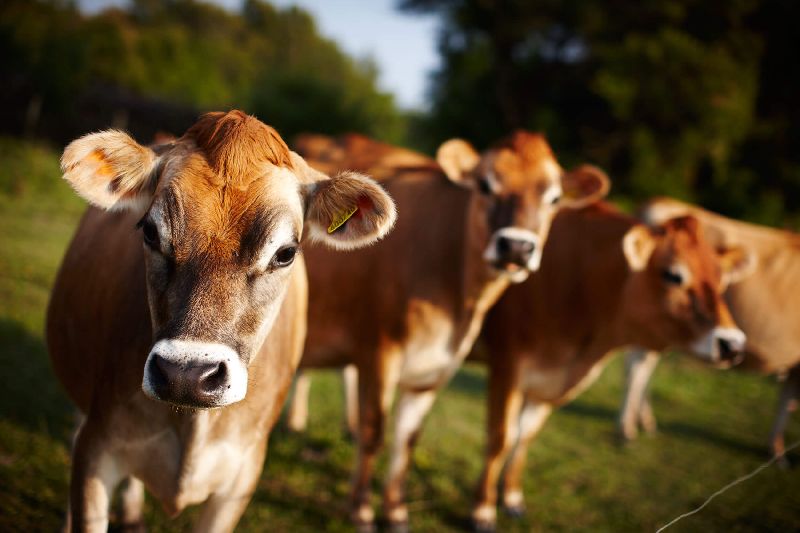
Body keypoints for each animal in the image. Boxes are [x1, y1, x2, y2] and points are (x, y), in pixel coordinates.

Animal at [291, 131, 610, 532]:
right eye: (486, 184)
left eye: (553, 198)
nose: (516, 246)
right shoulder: (380, 348)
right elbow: (375, 431)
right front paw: (361, 510)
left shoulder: (435, 366)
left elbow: (407, 439)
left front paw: (396, 512)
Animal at [471, 202, 752, 532]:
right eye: (673, 275)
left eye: (722, 281)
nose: (733, 344)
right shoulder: (508, 364)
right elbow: (501, 437)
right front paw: (483, 511)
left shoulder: (552, 383)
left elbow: (524, 436)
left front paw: (513, 498)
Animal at [618, 197, 799, 465]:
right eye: (674, 275)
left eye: (723, 279)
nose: (733, 347)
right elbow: (787, 401)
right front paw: (777, 453)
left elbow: (786, 399)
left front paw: (775, 451)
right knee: (637, 369)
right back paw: (627, 429)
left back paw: (645, 422)